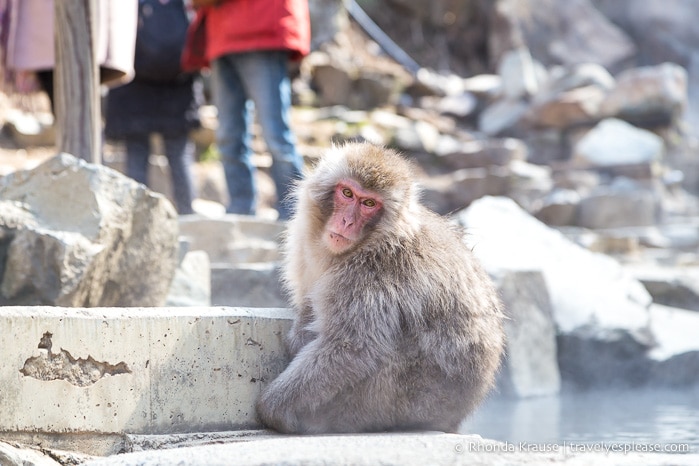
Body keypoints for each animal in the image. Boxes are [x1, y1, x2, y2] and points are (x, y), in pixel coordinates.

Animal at [254, 141, 506, 434]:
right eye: (347, 193)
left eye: (369, 203)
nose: (347, 222)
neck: (371, 242)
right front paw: (301, 328)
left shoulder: (366, 276)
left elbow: (352, 348)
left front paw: (272, 408)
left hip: (401, 399)